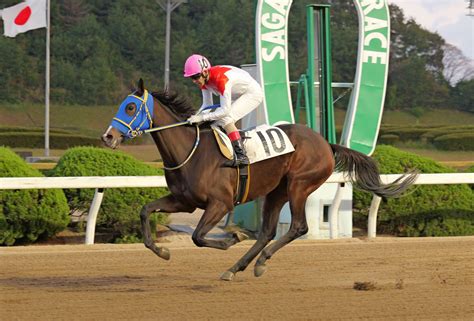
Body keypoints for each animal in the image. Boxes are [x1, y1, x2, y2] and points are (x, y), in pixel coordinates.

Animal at [102, 79, 416, 280]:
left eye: (130, 108)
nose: (108, 137)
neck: (190, 151)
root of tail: (326, 143)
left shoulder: (220, 203)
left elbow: (198, 237)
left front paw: (233, 237)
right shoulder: (184, 201)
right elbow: (145, 211)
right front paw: (162, 251)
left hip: (299, 184)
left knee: (298, 227)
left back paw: (260, 261)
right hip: (276, 191)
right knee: (267, 232)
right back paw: (237, 267)